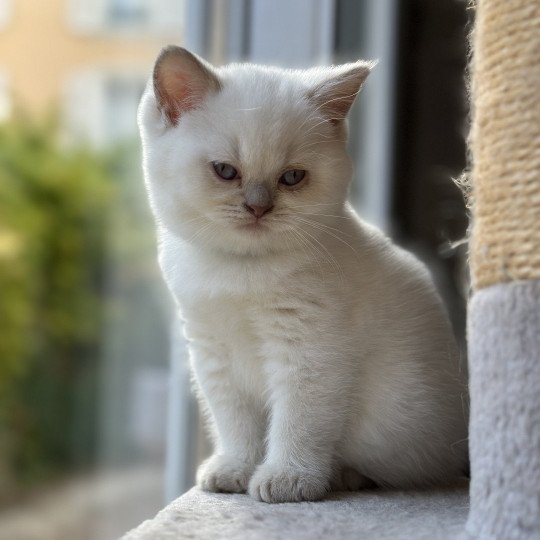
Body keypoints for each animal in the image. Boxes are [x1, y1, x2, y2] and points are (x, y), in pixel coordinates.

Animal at [137, 47, 466, 506]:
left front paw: (287, 480)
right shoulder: (213, 354)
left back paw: (343, 476)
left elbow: (298, 423)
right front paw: (234, 470)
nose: (258, 208)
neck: (239, 271)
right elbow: (235, 424)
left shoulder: (310, 354)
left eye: (292, 177)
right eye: (225, 171)